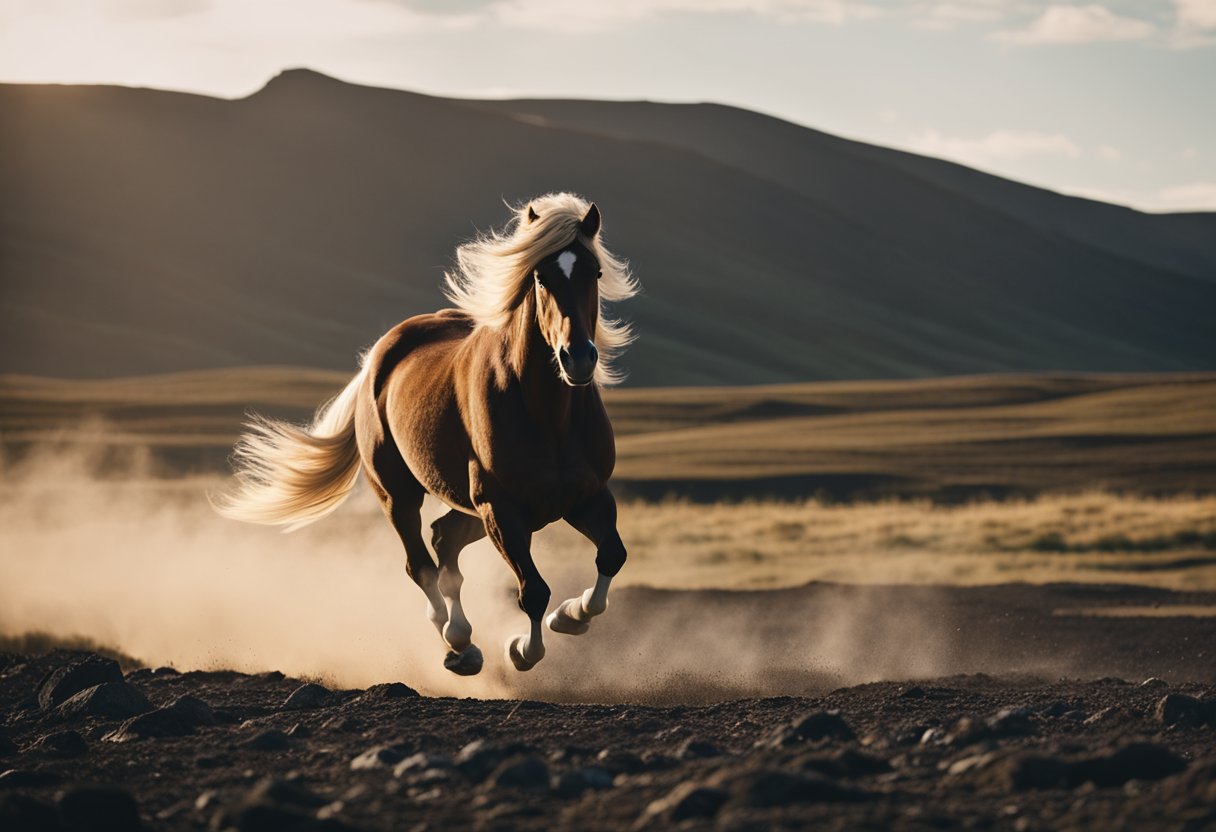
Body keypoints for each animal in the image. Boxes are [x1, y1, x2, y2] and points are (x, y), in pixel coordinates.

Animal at [215, 194, 642, 676]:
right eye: (541, 276)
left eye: (595, 273)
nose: (578, 358)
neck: (547, 415)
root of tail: (378, 357)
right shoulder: (502, 510)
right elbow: (533, 591)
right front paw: (521, 649)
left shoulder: (586, 496)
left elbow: (612, 556)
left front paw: (571, 616)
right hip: (399, 495)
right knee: (421, 564)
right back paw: (459, 643)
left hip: (470, 509)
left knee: (443, 540)